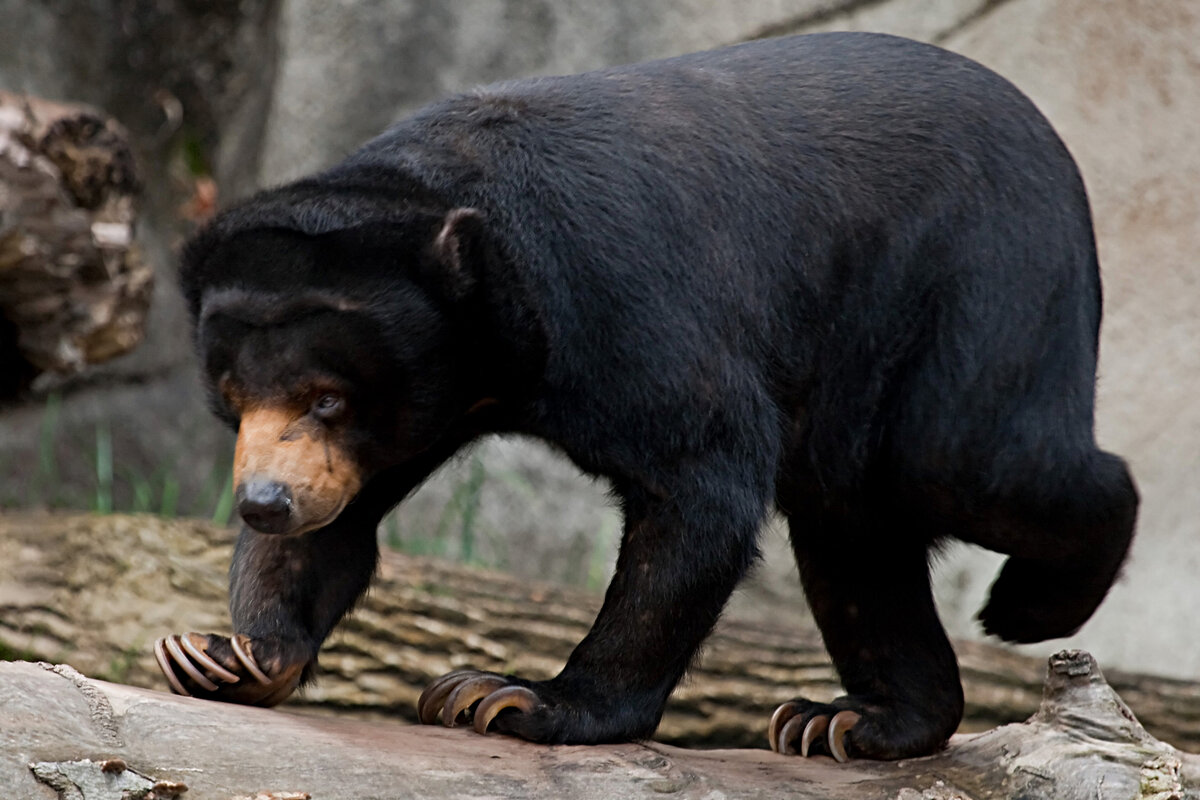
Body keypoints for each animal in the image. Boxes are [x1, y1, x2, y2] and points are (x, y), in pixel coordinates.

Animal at [157, 34, 1132, 762]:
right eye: (234, 394)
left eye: (326, 399)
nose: (265, 501)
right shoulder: (424, 396)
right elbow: (339, 526)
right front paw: (226, 656)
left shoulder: (618, 297)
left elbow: (699, 480)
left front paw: (513, 699)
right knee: (854, 530)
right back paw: (856, 720)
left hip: (980, 276)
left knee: (965, 460)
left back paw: (1033, 604)